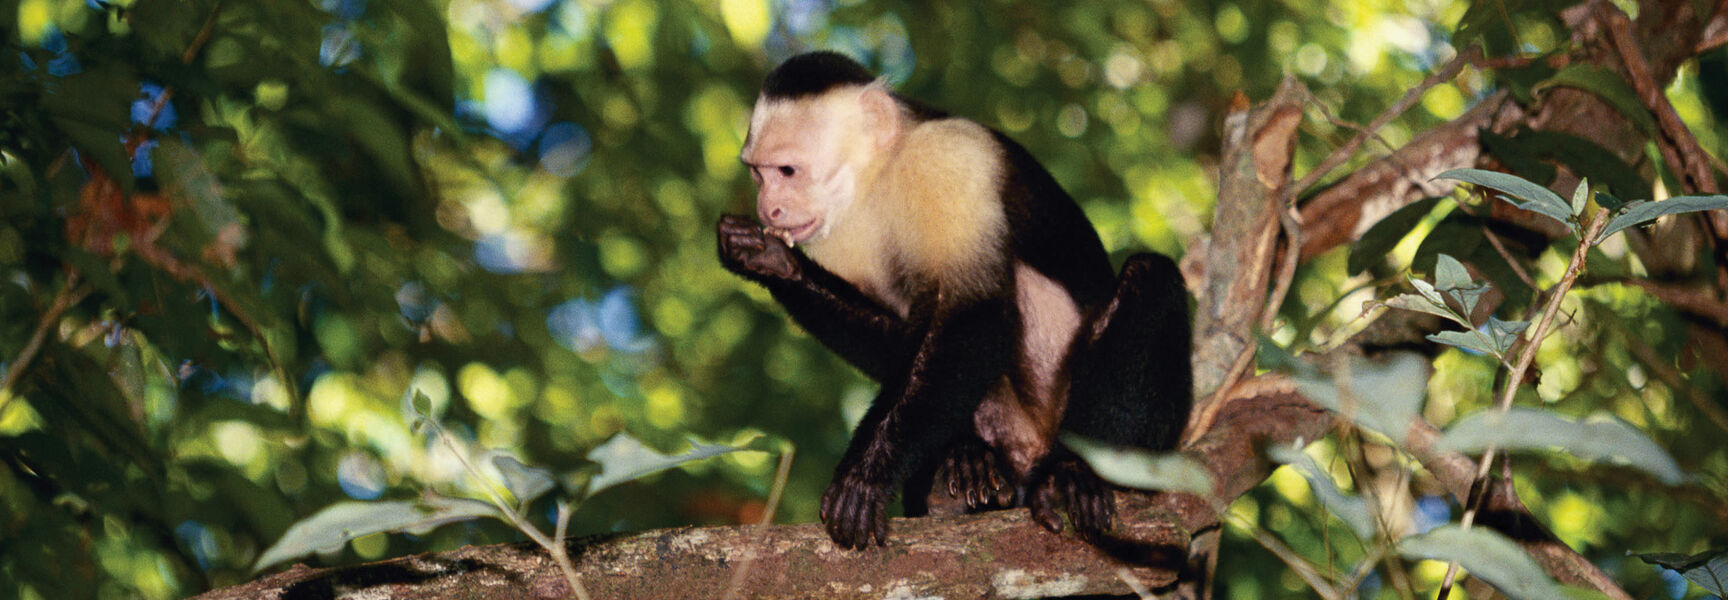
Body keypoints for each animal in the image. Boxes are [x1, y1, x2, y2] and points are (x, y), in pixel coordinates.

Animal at [717, 51, 1191, 549]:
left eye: (787, 171)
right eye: (757, 173)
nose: (769, 207)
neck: (882, 174)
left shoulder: (950, 158)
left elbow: (975, 316)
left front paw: (866, 474)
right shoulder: (836, 235)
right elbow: (904, 342)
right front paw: (769, 260)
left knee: (1149, 277)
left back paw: (1076, 472)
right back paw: (964, 468)